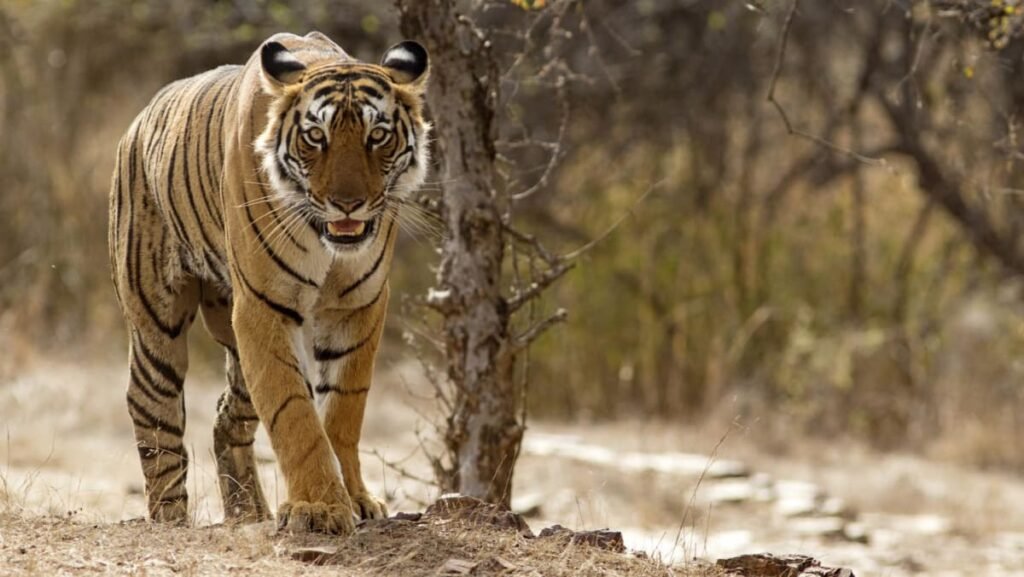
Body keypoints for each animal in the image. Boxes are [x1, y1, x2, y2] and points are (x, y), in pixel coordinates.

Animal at [107, 31, 431, 535]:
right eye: (316, 137)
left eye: (377, 135)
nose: (348, 204)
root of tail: (139, 121)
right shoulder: (264, 307)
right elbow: (293, 412)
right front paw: (319, 508)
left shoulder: (358, 305)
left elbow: (342, 409)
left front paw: (355, 499)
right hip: (156, 323)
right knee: (152, 411)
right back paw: (170, 519)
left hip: (235, 348)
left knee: (227, 419)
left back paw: (247, 512)